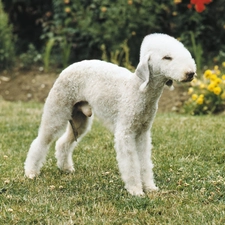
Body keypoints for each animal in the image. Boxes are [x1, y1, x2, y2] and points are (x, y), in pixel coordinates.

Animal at [24, 33, 196, 195]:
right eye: (167, 57)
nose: (191, 73)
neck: (138, 90)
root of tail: (67, 68)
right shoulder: (125, 133)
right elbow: (131, 163)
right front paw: (135, 190)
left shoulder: (143, 133)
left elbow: (144, 162)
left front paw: (150, 187)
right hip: (57, 110)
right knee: (41, 141)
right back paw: (31, 172)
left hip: (80, 119)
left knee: (62, 143)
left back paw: (65, 168)